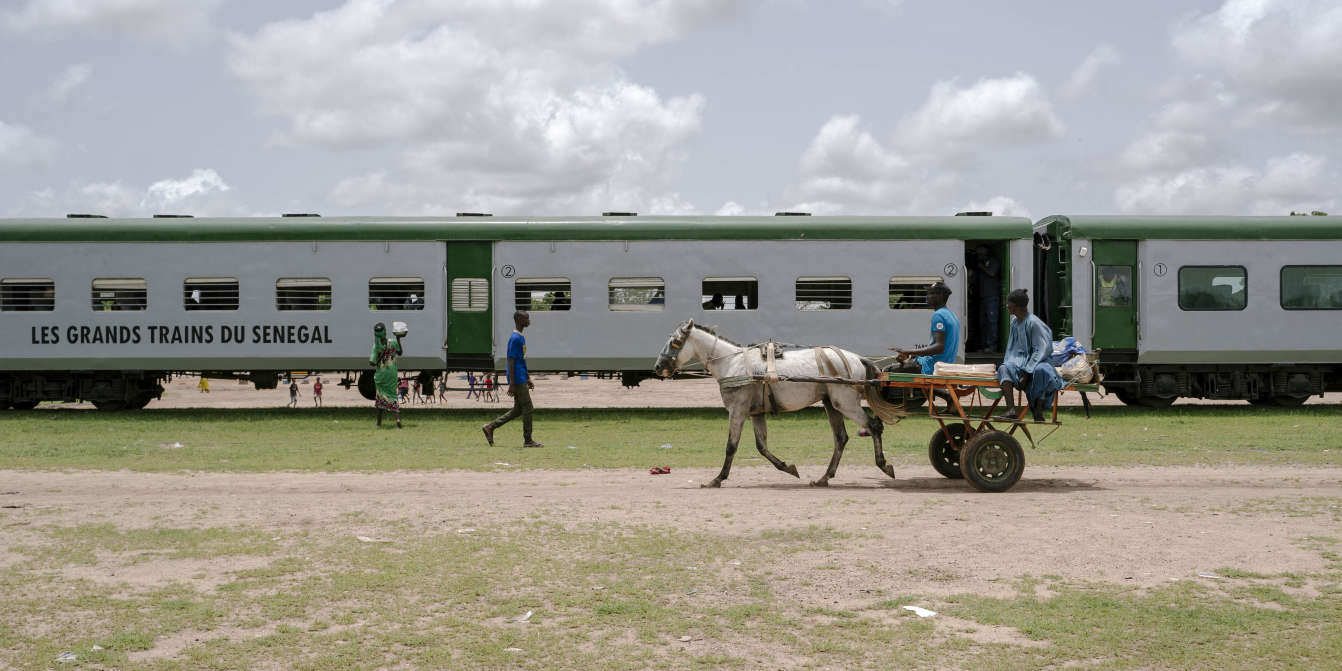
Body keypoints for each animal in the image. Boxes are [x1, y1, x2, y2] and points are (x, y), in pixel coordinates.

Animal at [649, 319, 891, 488]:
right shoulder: (756, 413)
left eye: (675, 342)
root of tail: (858, 358)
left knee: (873, 426)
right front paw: (788, 468)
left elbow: (731, 446)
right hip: (831, 404)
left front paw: (717, 479)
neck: (733, 363)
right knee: (841, 438)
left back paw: (884, 465)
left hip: (845, 403)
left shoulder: (737, 411)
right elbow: (762, 446)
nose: (658, 366)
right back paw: (824, 477)